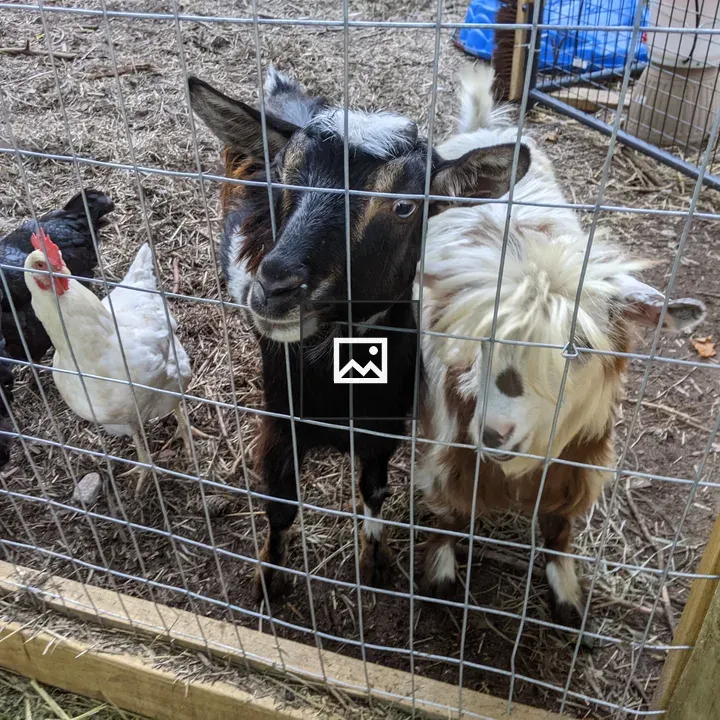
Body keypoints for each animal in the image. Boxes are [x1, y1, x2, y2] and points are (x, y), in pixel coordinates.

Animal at [188, 67, 532, 601]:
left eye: (406, 206)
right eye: (283, 174)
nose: (275, 286)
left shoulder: (384, 426)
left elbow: (374, 490)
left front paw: (375, 560)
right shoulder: (282, 421)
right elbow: (280, 504)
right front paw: (268, 578)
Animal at [416, 65, 706, 633]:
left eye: (579, 348)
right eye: (481, 338)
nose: (495, 432)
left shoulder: (580, 463)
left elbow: (558, 529)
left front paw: (568, 598)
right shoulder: (449, 450)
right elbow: (450, 515)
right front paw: (440, 579)